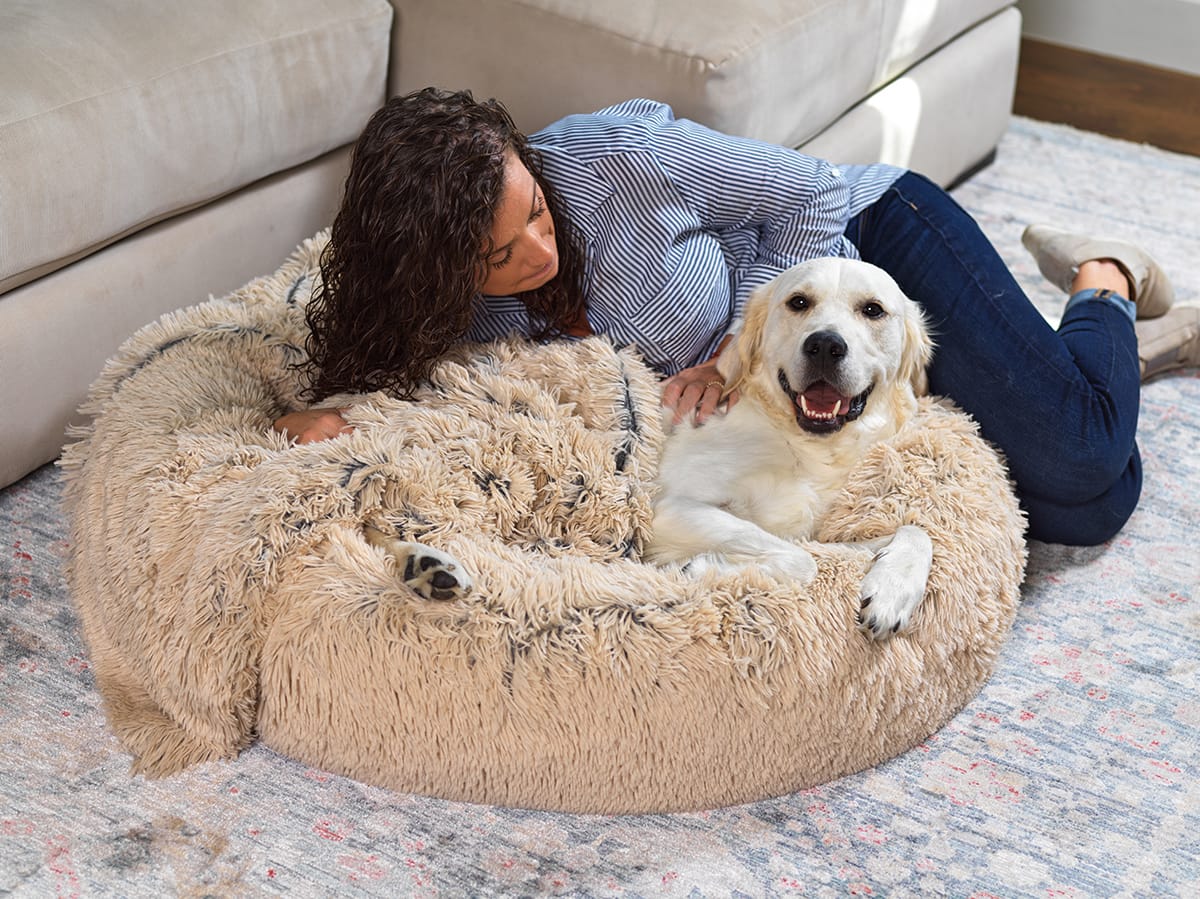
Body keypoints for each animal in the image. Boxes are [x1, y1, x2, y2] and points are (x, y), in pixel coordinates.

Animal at [648, 255, 936, 643]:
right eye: (799, 302)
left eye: (872, 310)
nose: (826, 346)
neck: (806, 447)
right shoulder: (671, 507)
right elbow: (803, 562)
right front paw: (702, 569)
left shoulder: (810, 536)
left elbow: (917, 532)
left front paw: (892, 591)